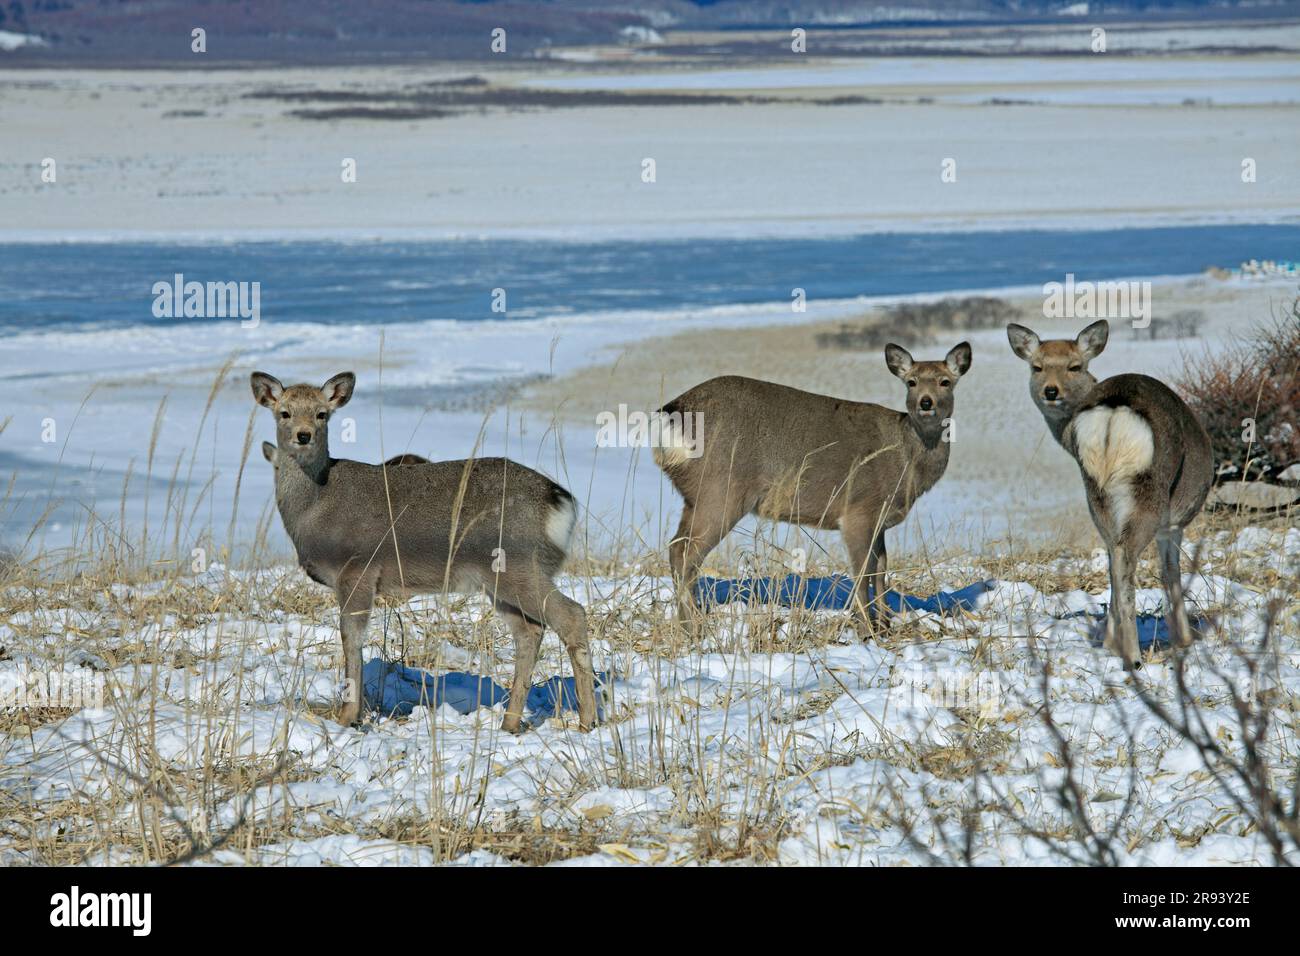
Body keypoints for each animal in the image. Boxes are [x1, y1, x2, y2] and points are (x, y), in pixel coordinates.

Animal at [248, 369, 595, 728]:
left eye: (321, 414)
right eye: (284, 413)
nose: (303, 436)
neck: (315, 506)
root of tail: (560, 500)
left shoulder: (357, 569)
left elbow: (350, 638)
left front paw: (348, 717)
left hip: (518, 563)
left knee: (571, 615)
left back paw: (588, 721)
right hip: (501, 581)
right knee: (530, 631)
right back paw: (511, 723)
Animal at [655, 340, 972, 639]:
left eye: (945, 381)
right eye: (912, 382)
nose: (926, 403)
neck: (906, 459)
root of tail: (671, 415)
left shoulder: (880, 520)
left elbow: (881, 568)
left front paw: (884, 626)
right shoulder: (858, 509)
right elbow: (862, 572)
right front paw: (867, 630)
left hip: (694, 496)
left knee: (676, 546)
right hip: (721, 489)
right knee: (685, 551)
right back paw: (693, 627)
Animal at [1003, 321, 1216, 665]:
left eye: (1074, 366)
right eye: (1036, 366)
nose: (1051, 391)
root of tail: (1113, 413)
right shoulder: (1173, 525)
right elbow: (1170, 572)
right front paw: (1184, 639)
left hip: (1096, 493)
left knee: (1114, 558)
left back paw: (1114, 645)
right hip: (1148, 495)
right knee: (1126, 560)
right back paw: (1134, 656)